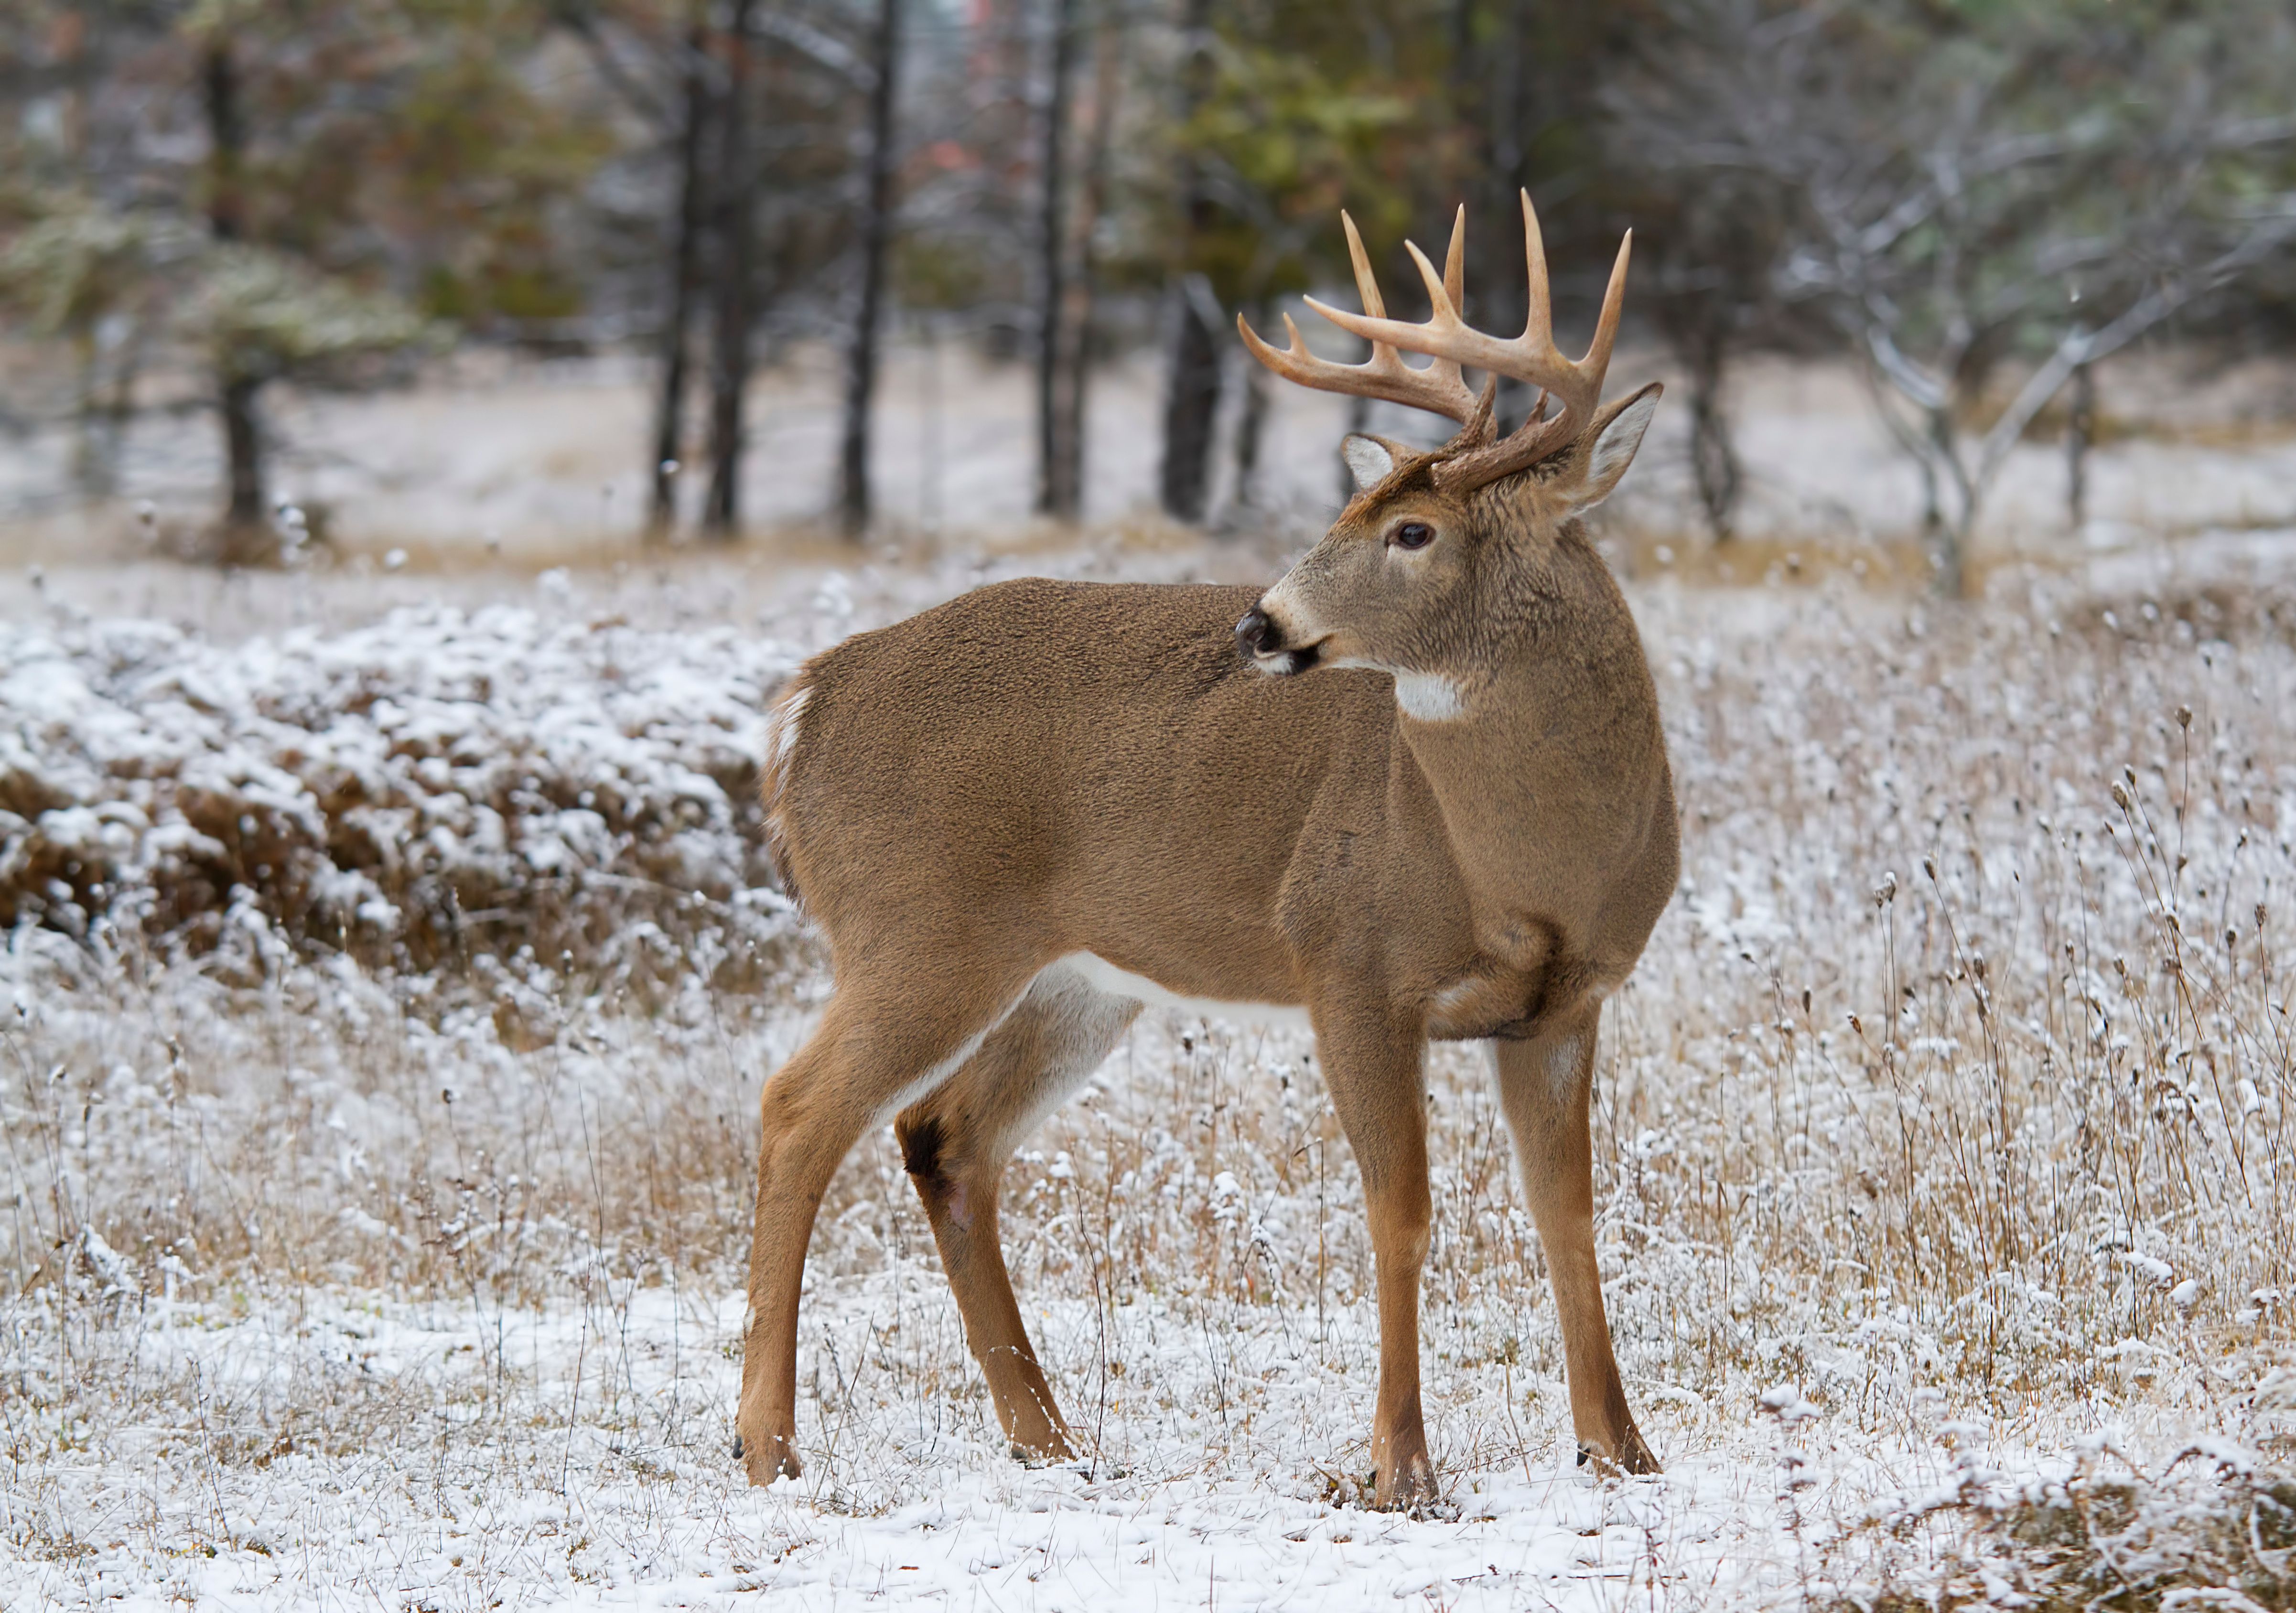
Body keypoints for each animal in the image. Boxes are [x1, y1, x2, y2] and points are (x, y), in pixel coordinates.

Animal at [744, 195, 1681, 1505]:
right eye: (1347, 515)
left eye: (1410, 528)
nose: (1261, 624)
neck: (1525, 870)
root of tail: (807, 699)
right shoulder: (1347, 961)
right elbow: (1401, 1213)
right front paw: (1400, 1467)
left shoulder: (1565, 1001)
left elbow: (1568, 1217)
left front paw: (1620, 1449)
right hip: (915, 931)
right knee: (796, 1111)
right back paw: (768, 1445)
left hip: (1073, 979)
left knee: (944, 1136)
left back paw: (1050, 1437)